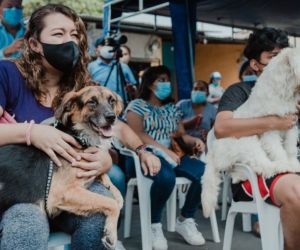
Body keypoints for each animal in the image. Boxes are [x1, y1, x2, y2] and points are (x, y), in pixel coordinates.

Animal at [202, 47, 300, 217]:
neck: (284, 90)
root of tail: (212, 152)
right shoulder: (270, 129)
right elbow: (278, 151)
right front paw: (285, 164)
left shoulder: (290, 127)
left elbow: (290, 149)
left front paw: (293, 163)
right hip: (247, 141)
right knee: (259, 163)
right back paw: (275, 167)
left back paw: (239, 176)